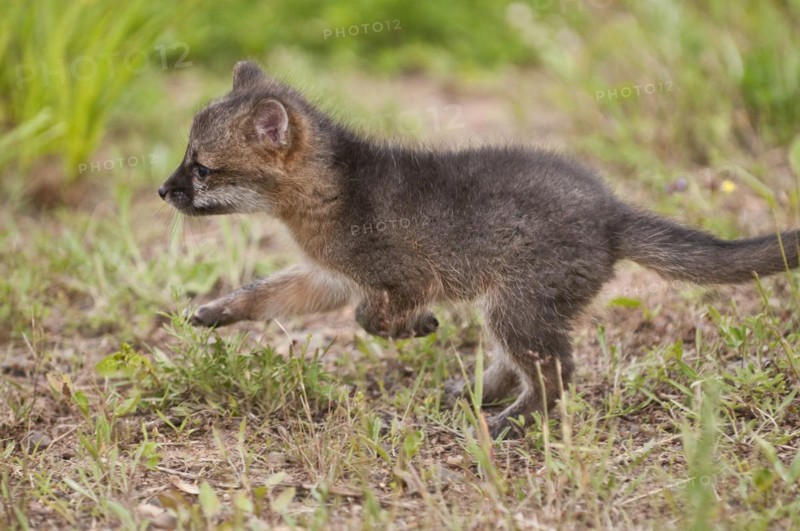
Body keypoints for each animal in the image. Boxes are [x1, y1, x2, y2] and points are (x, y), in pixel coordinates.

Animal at [158, 61, 800, 438]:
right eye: (186, 158)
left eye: (201, 167)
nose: (162, 191)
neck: (332, 196)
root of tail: (613, 213)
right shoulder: (327, 277)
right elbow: (264, 294)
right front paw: (214, 311)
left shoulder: (397, 277)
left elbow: (369, 317)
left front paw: (415, 327)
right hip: (514, 310)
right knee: (520, 367)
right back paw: (473, 395)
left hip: (515, 306)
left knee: (556, 374)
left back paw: (503, 425)